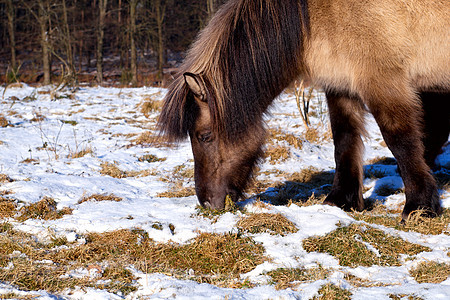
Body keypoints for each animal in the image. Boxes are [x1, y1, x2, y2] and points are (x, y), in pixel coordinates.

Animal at [156, 0, 448, 220]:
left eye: (204, 136)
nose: (206, 202)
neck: (315, 15)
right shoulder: (340, 86)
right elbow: (344, 140)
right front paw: (341, 200)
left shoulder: (382, 82)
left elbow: (400, 141)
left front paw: (419, 207)